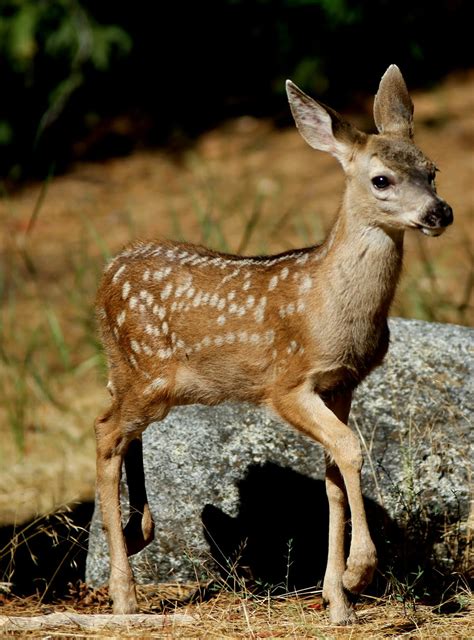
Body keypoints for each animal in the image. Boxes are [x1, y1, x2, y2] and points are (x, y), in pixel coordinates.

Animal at [92, 66, 452, 624]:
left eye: (432, 170)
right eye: (381, 180)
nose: (440, 213)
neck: (328, 304)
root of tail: (108, 272)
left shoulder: (342, 384)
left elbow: (333, 475)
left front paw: (337, 600)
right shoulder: (286, 383)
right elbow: (350, 449)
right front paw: (357, 574)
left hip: (134, 376)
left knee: (119, 429)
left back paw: (137, 538)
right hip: (146, 371)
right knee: (105, 434)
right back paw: (125, 596)